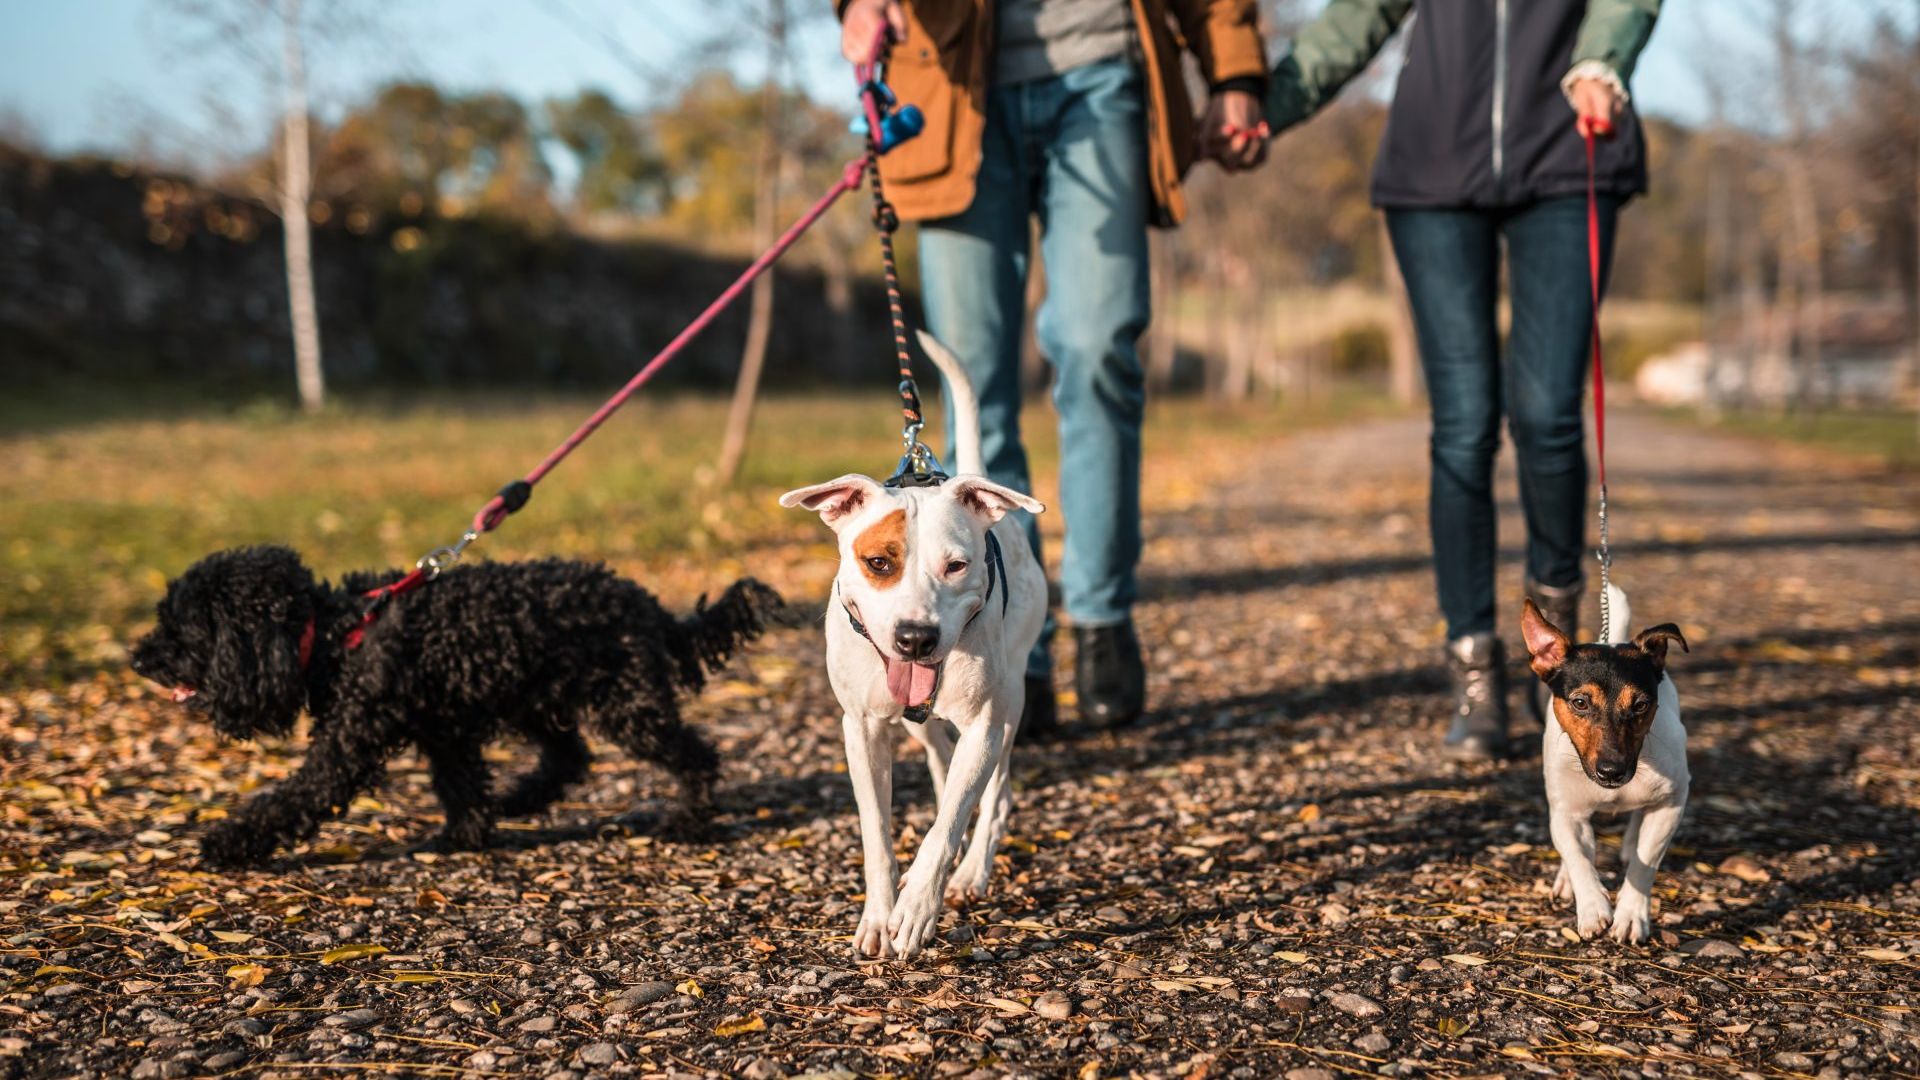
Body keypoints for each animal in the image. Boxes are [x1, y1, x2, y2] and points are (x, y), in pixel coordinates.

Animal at [131, 545, 783, 864]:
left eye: (180, 629)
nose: (137, 659)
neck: (336, 632)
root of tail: (649, 606)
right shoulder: (443, 730)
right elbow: (460, 786)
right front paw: (466, 835)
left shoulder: (345, 750)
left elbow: (288, 800)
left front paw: (226, 843)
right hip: (536, 696)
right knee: (569, 757)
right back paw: (520, 799)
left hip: (627, 703)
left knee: (693, 754)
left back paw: (691, 819)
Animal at [775, 330, 1052, 957]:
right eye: (879, 562)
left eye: (957, 566)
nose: (915, 638)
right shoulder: (862, 729)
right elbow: (877, 832)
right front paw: (879, 915)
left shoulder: (984, 726)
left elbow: (947, 825)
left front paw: (917, 908)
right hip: (915, 722)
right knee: (941, 762)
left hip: (1011, 704)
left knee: (992, 796)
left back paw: (971, 872)